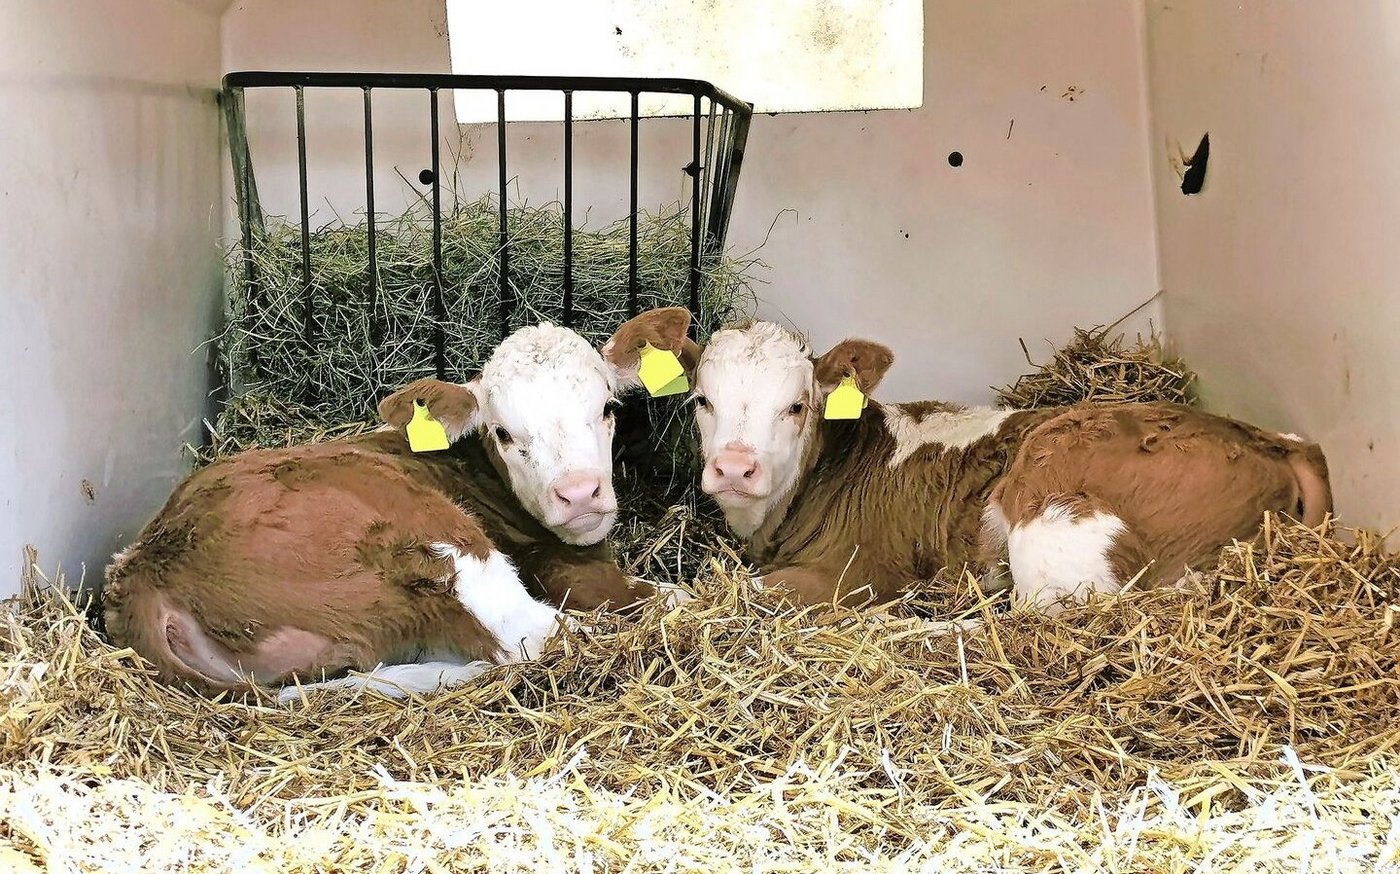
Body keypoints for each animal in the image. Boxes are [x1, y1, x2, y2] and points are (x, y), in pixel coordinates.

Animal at [103, 320, 661, 700]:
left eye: (608, 408)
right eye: (503, 432)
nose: (580, 493)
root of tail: (142, 569)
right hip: (432, 540)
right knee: (536, 635)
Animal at [605, 308, 1333, 611]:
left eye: (797, 406)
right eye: (701, 400)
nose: (734, 468)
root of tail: (1275, 440)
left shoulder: (852, 574)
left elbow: (706, 594)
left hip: (1055, 519)